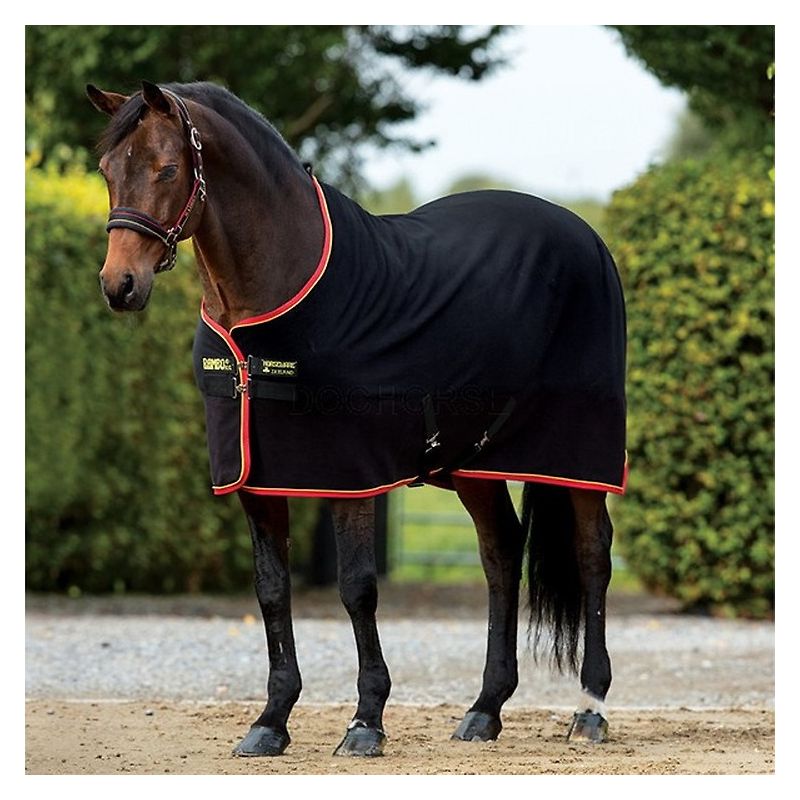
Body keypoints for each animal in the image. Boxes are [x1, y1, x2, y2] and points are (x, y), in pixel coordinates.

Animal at [87, 80, 626, 758]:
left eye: (166, 168)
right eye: (107, 169)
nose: (119, 285)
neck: (271, 304)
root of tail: (583, 233)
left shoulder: (351, 474)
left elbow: (357, 588)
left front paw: (366, 720)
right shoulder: (255, 479)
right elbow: (271, 589)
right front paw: (271, 721)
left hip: (579, 454)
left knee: (592, 555)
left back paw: (590, 709)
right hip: (473, 460)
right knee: (501, 552)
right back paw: (484, 710)